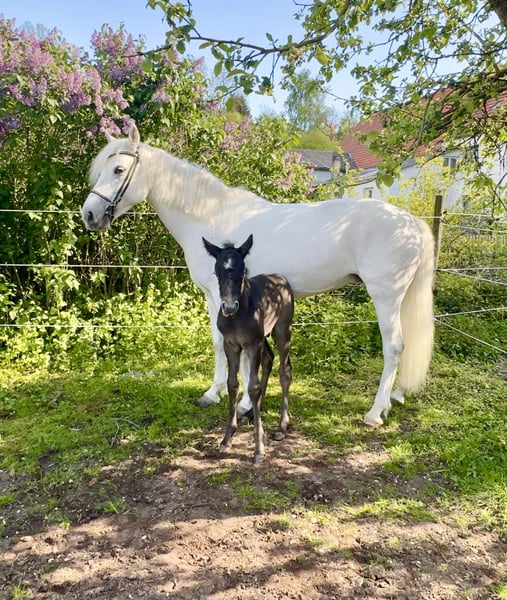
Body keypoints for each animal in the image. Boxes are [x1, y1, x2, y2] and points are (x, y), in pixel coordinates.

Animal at [81, 124, 435, 426]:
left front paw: (238, 401)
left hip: (385, 296)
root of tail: (412, 223)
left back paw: (374, 412)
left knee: (394, 346)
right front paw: (216, 392)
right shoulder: (219, 297)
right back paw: (392, 400)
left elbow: (232, 347)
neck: (210, 217)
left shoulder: (225, 297)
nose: (90, 215)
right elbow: (221, 343)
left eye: (118, 170)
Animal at [203, 234, 294, 463]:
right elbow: (233, 384)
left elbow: (252, 386)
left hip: (282, 329)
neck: (238, 316)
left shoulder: (253, 344)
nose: (229, 307)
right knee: (269, 359)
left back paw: (282, 426)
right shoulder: (231, 345)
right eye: (216, 272)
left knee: (284, 370)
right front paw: (227, 438)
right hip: (264, 337)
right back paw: (253, 413)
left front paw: (259, 448)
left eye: (242, 271)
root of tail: (281, 278)